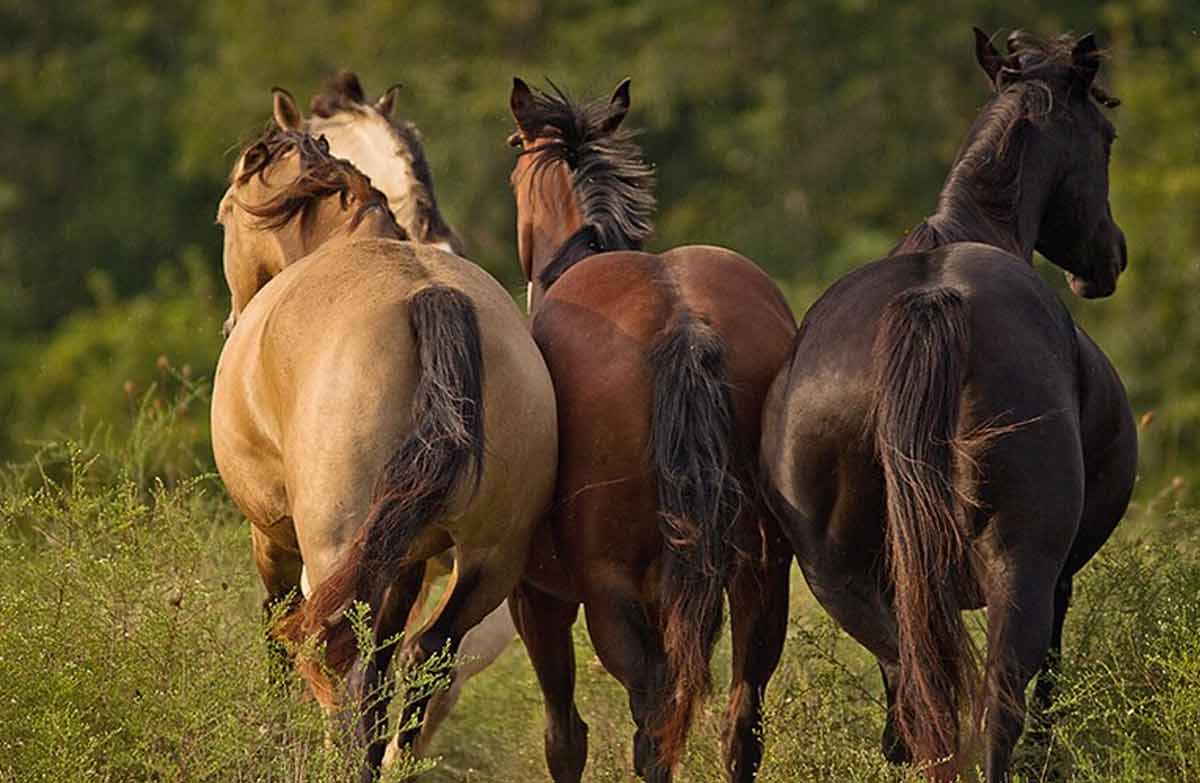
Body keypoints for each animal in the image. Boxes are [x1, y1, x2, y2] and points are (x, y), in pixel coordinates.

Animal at [506, 78, 798, 782]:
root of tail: (681, 319)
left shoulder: (538, 598)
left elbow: (564, 735)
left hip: (608, 588)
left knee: (653, 719)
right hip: (761, 572)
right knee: (740, 721)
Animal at [760, 29, 1136, 782]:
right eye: (1105, 136)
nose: (1111, 258)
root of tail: (932, 302)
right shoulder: (1057, 578)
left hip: (852, 586)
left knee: (920, 716)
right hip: (1021, 568)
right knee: (999, 709)